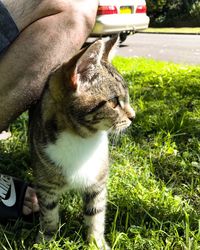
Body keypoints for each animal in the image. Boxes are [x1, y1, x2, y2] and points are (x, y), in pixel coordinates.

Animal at [29, 36, 134, 249]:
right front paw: (46, 240)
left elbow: (96, 213)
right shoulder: (45, 185)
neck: (81, 138)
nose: (134, 116)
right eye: (113, 102)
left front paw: (96, 242)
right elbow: (49, 214)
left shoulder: (97, 181)